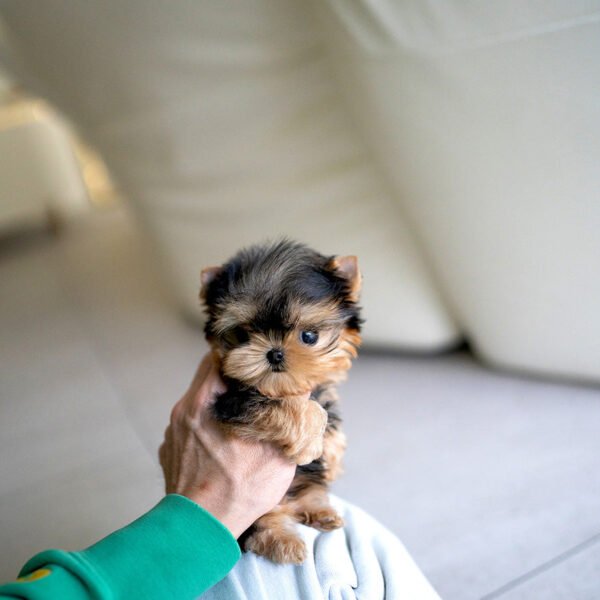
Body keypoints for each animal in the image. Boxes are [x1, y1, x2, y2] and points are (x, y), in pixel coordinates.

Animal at [200, 240, 362, 563]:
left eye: (309, 336)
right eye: (242, 334)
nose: (274, 352)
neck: (285, 389)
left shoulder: (322, 392)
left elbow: (330, 421)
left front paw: (331, 455)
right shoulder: (231, 403)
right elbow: (288, 409)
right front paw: (310, 441)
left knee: (308, 495)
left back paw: (320, 512)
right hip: (258, 509)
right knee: (262, 525)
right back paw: (284, 542)